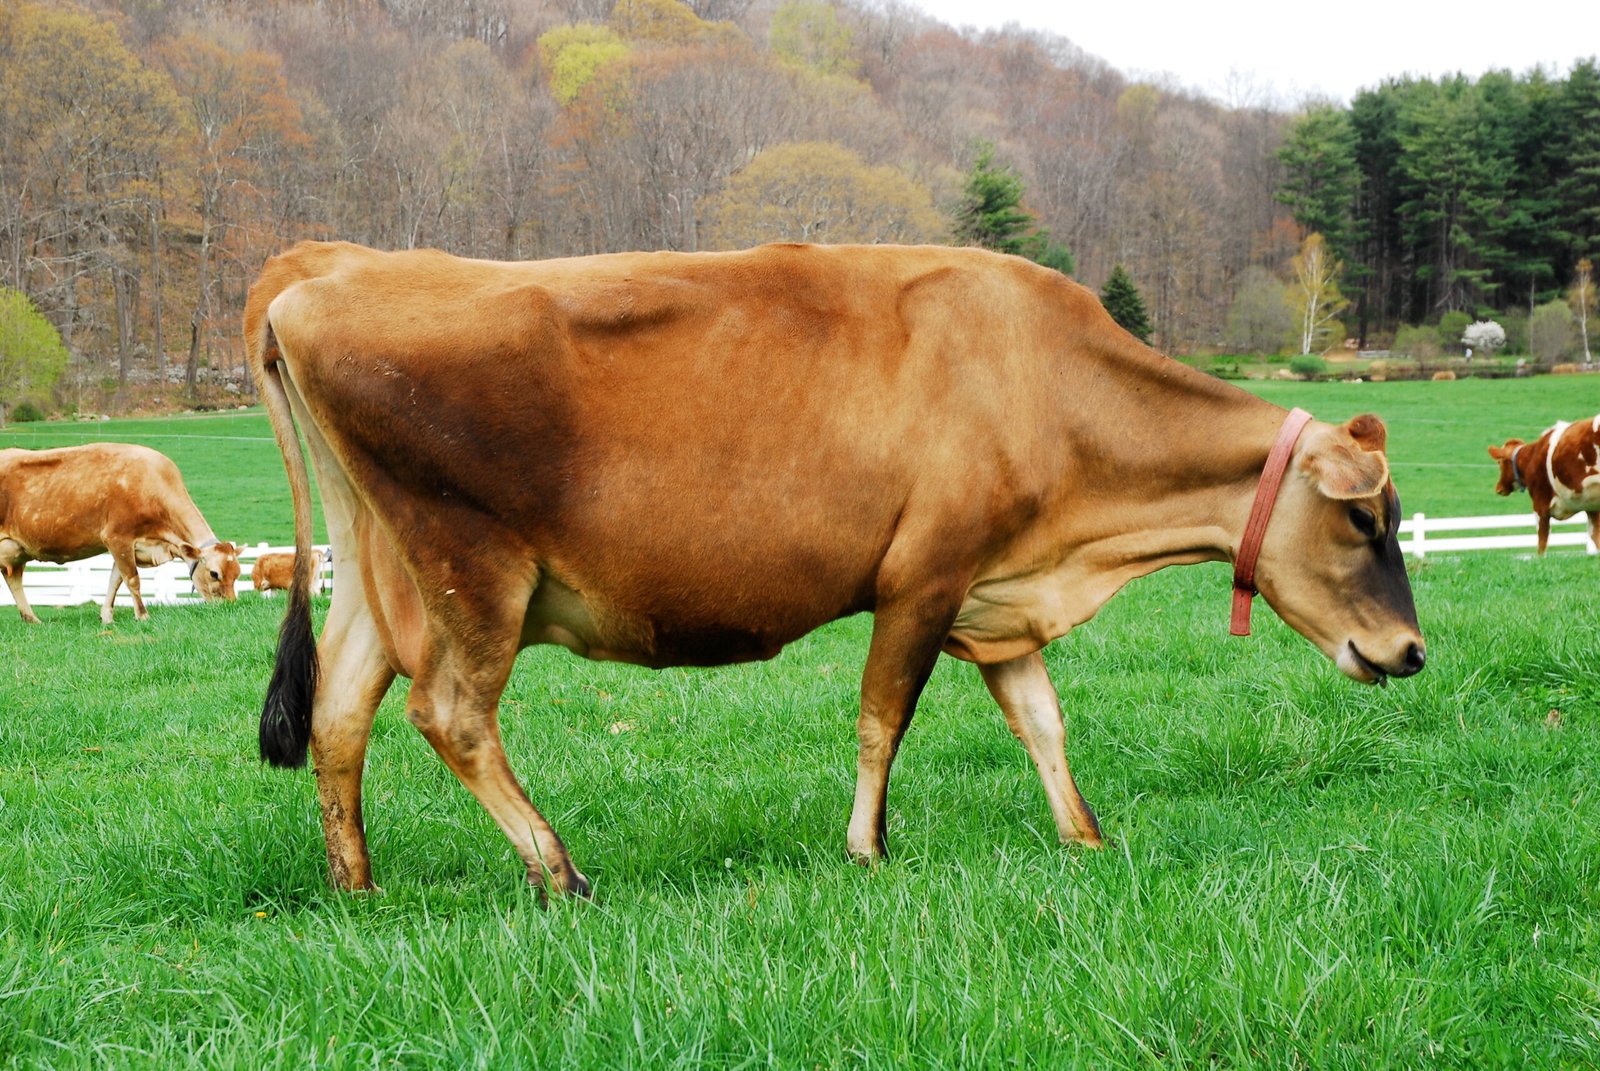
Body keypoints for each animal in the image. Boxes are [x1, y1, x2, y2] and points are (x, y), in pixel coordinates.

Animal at [0, 443, 241, 624]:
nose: (230, 606)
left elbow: (115, 580)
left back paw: (31, 618)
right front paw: (142, 615)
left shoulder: (129, 546)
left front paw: (107, 617)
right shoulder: (117, 537)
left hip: (15, 550)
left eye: (237, 574)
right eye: (214, 574)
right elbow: (132, 579)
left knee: (14, 579)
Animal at [245, 241, 1426, 897]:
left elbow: (1043, 721)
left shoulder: (996, 594)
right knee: (448, 714)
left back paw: (356, 886)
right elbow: (881, 718)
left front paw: (1084, 838)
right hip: (471, 569)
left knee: (340, 712)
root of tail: (325, 267)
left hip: (377, 568)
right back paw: (559, 870)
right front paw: (866, 850)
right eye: (1363, 516)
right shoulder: (925, 577)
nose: (1411, 651)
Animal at [1489, 415, 1600, 555]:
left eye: (1499, 463)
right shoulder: (1591, 507)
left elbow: (1542, 543)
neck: (1532, 457)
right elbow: (1595, 539)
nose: (1498, 488)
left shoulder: (1540, 505)